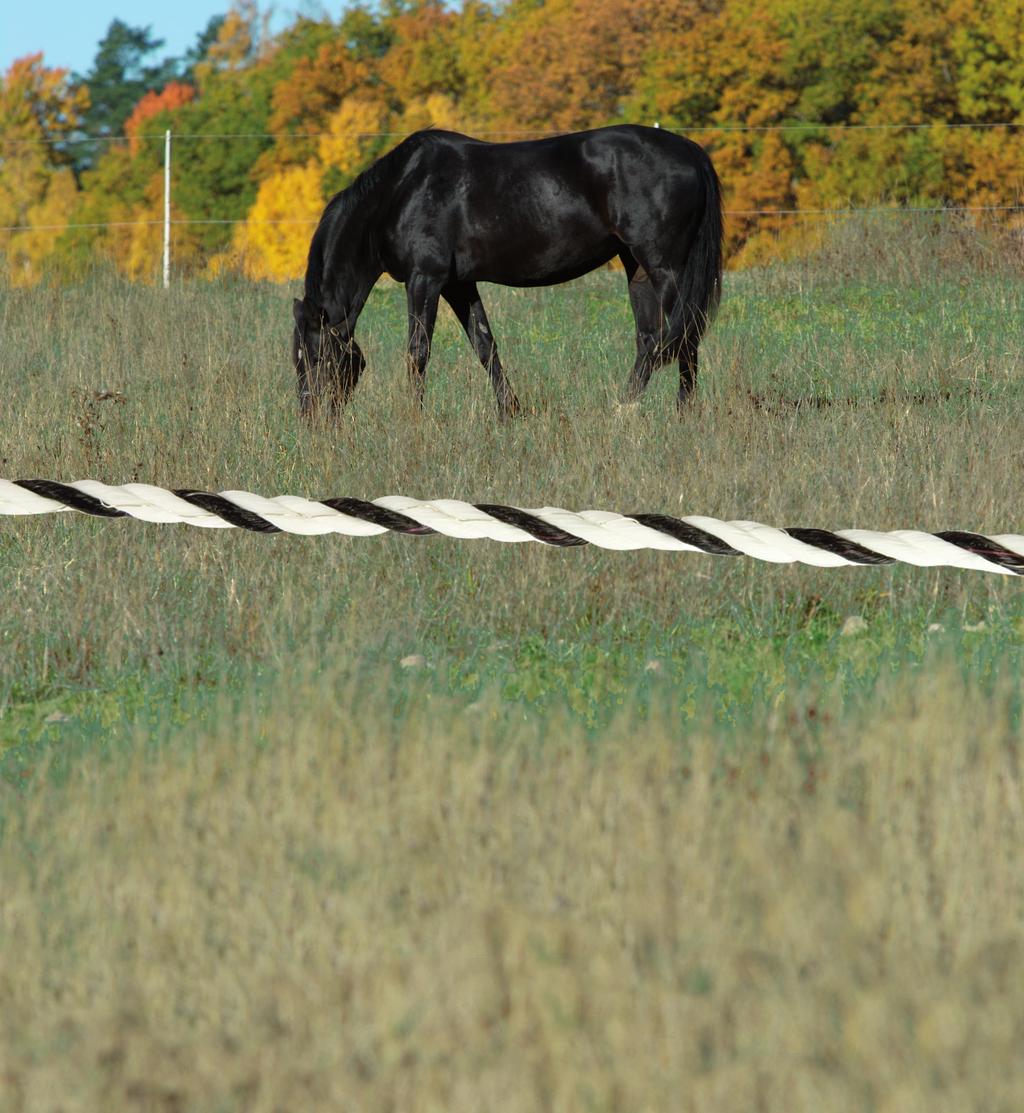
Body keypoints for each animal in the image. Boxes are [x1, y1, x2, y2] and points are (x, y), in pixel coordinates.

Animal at [291, 122, 725, 418]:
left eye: (316, 357)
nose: (311, 421)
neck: (401, 192)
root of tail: (690, 150)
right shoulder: (459, 285)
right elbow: (485, 345)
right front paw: (509, 411)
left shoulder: (425, 278)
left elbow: (417, 351)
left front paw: (413, 418)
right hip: (637, 268)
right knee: (651, 339)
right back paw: (623, 409)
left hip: (664, 266)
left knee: (685, 333)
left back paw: (683, 411)